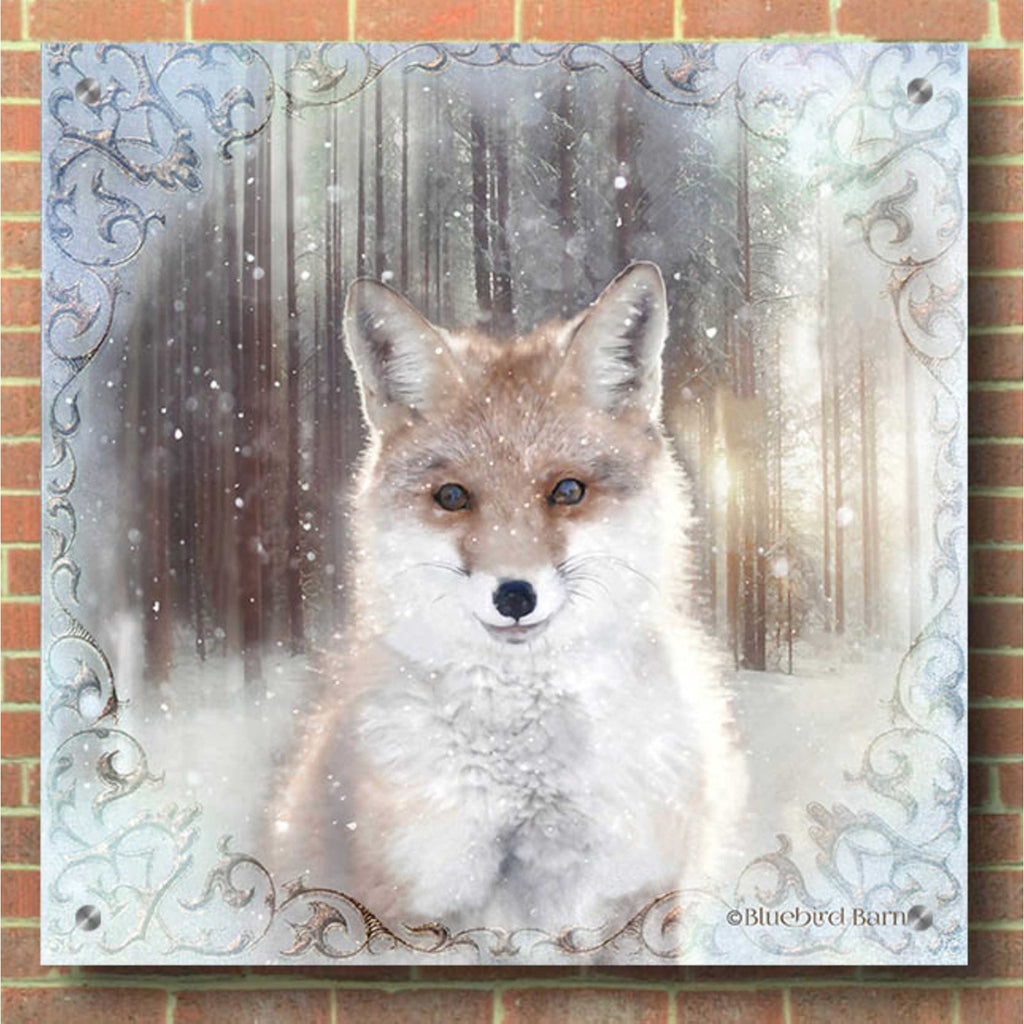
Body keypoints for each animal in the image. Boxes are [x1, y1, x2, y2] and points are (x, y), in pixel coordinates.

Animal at [273, 261, 745, 939]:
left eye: (567, 491)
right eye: (452, 497)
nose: (515, 595)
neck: (528, 788)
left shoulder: (643, 898)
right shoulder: (414, 911)